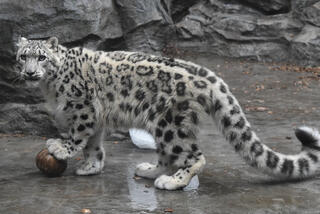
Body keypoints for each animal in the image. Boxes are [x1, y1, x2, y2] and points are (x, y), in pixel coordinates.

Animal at [16, 37, 320, 191]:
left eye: (41, 57)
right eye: (23, 56)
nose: (29, 73)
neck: (49, 86)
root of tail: (208, 76)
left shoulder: (83, 108)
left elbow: (79, 134)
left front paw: (59, 148)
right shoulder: (95, 116)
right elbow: (94, 144)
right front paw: (91, 166)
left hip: (171, 123)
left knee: (194, 156)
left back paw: (171, 181)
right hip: (162, 125)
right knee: (167, 155)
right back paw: (150, 170)